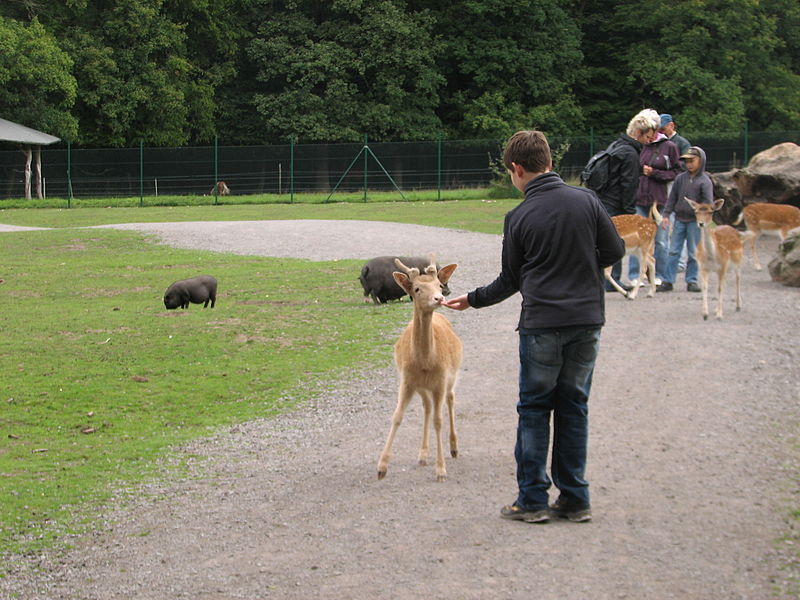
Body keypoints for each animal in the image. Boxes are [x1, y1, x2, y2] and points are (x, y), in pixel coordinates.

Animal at [380, 254, 466, 482]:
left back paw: (454, 448)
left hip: (452, 376)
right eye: (417, 288)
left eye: (439, 284)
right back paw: (423, 454)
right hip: (421, 388)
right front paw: (382, 467)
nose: (439, 298)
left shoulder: (440, 380)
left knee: (450, 399)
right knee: (426, 407)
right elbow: (397, 416)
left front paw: (441, 470)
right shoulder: (407, 381)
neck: (426, 362)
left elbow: (438, 420)